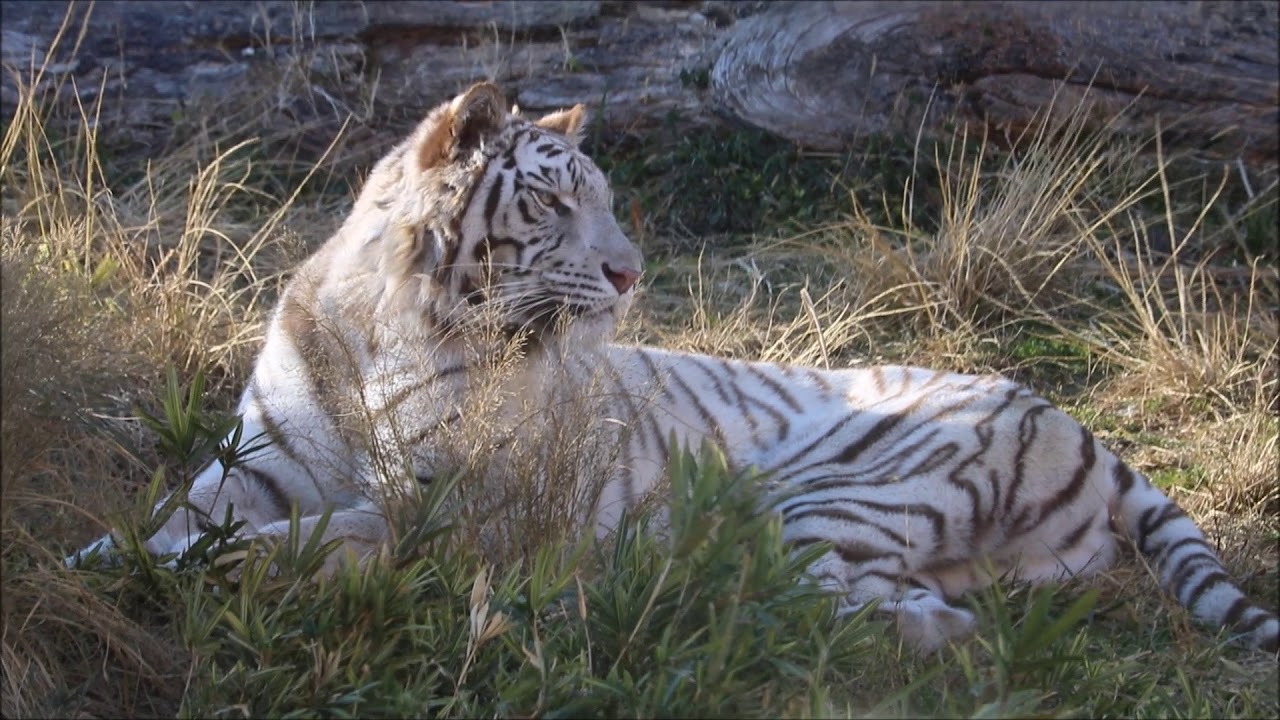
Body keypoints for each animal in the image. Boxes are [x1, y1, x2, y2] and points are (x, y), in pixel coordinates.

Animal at [67, 82, 1278, 655]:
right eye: (555, 200)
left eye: (605, 198)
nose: (630, 272)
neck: (386, 326)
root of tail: (1081, 426)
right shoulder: (255, 463)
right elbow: (155, 526)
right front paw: (88, 566)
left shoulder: (445, 508)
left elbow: (320, 534)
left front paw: (227, 570)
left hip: (826, 493)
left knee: (828, 596)